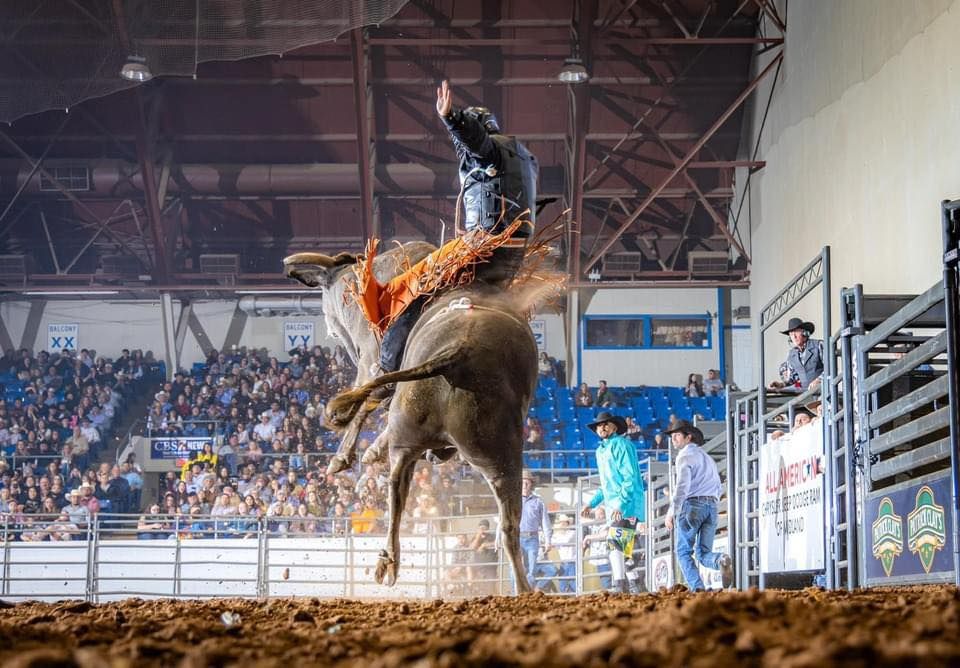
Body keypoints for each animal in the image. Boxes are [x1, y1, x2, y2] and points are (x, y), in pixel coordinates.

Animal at [282, 243, 544, 592]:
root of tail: (456, 353)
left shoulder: (370, 359)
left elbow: (367, 399)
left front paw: (346, 456)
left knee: (398, 484)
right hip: (494, 458)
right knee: (505, 523)